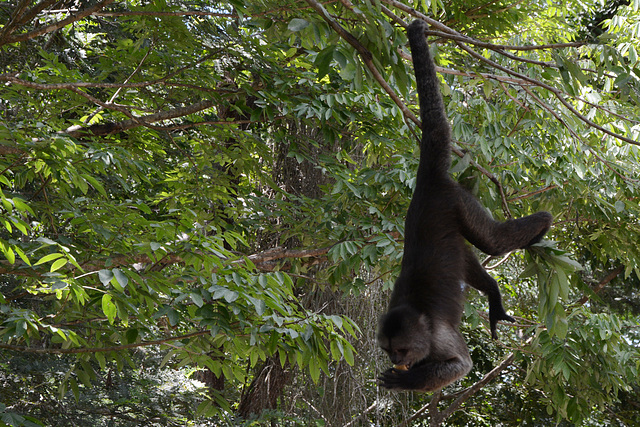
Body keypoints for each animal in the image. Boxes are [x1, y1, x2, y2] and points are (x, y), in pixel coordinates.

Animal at [378, 20, 552, 394]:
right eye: (387, 351)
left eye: (401, 350)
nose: (397, 361)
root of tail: (428, 183)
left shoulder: (438, 337)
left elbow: (461, 365)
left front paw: (407, 380)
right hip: (453, 216)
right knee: (467, 260)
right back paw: (494, 294)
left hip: (458, 201)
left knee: (493, 242)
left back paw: (543, 223)